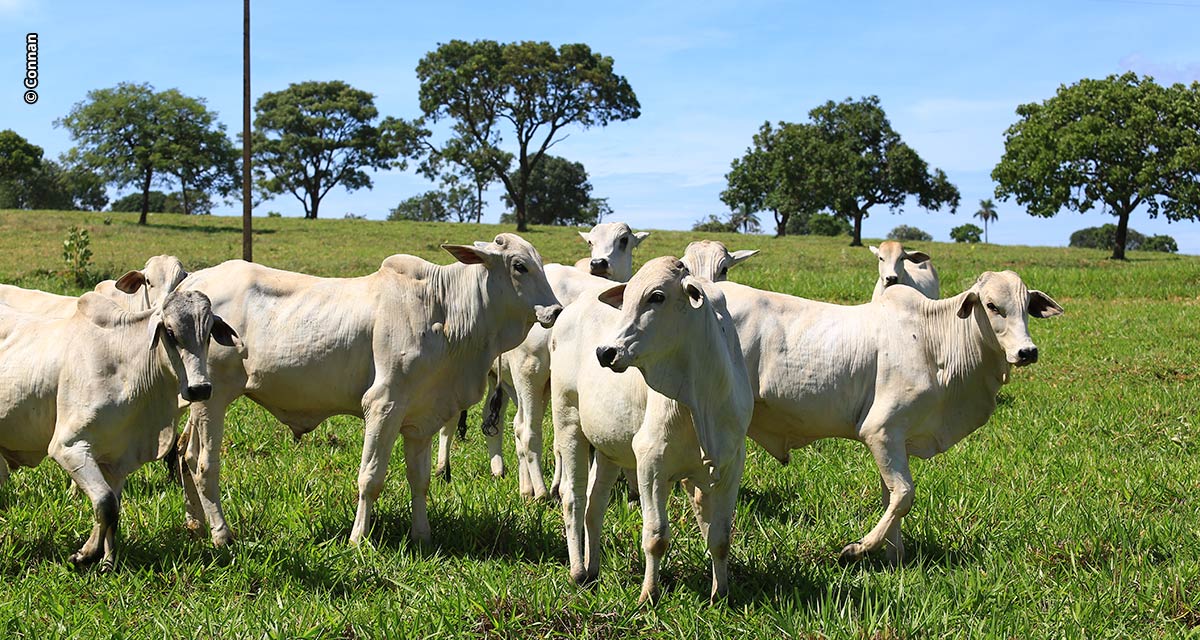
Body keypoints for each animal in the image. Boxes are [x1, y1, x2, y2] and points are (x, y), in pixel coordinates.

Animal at [0, 289, 240, 564]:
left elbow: (113, 509)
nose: (200, 389)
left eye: (209, 331)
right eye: (170, 332)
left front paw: (107, 560)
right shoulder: (68, 447)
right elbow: (105, 503)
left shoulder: (117, 458)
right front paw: (85, 554)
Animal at [175, 234, 561, 545]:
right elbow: (371, 478)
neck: (443, 309)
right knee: (204, 465)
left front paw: (422, 535)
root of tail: (193, 281)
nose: (556, 310)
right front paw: (359, 538)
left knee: (185, 455)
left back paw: (196, 523)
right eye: (520, 266)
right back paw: (221, 534)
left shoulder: (421, 417)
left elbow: (419, 480)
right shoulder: (383, 405)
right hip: (214, 399)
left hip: (199, 399)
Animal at [549, 256, 748, 600]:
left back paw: (593, 570)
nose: (605, 352)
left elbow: (720, 539)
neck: (701, 396)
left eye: (657, 296)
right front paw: (649, 594)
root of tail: (571, 309)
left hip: (608, 449)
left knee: (594, 505)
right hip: (568, 421)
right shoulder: (651, 463)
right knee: (572, 497)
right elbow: (656, 536)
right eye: (627, 299)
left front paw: (720, 594)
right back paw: (578, 572)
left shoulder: (730, 466)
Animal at [715, 272, 1065, 561]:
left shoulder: (897, 440)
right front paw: (858, 548)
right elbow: (904, 495)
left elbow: (892, 496)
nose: (1027, 352)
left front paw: (895, 558)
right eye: (992, 305)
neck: (935, 342)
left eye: (1026, 306)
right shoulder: (881, 432)